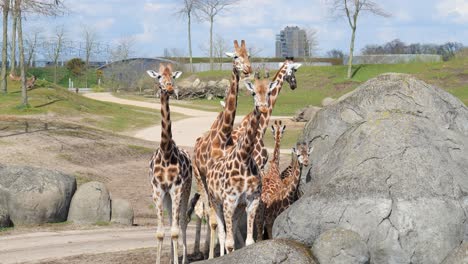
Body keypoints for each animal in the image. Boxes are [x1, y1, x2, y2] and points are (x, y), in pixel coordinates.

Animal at [191, 40, 250, 258]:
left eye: (249, 55)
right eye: (235, 56)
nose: (248, 69)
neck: (223, 136)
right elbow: (217, 220)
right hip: (200, 177)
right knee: (208, 214)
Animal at [207, 78, 276, 256]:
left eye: (269, 92)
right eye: (253, 93)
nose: (263, 107)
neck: (244, 158)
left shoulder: (252, 199)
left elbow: (249, 241)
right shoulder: (228, 200)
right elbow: (230, 242)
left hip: (238, 206)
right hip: (215, 201)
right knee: (222, 233)